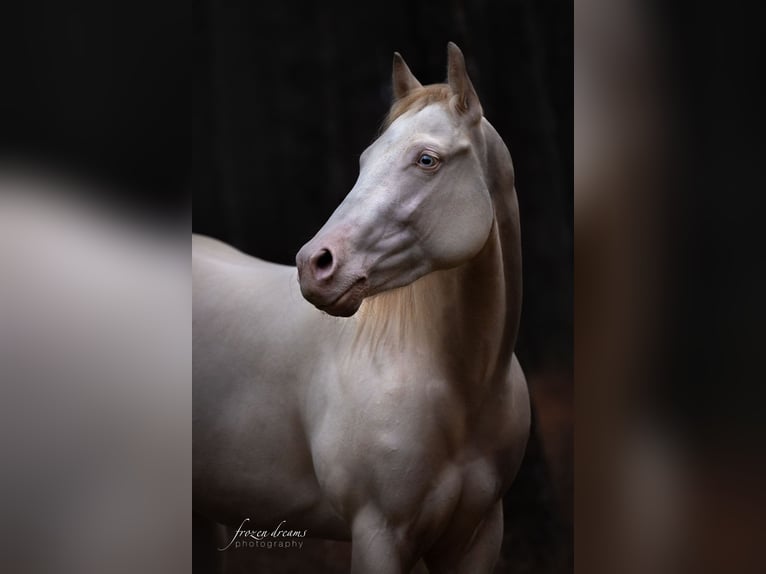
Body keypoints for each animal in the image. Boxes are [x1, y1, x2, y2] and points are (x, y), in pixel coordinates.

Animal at [192, 42, 532, 572]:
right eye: (365, 158)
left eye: (427, 159)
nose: (315, 264)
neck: (462, 384)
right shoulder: (379, 533)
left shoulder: (478, 536)